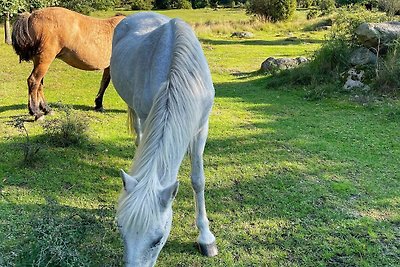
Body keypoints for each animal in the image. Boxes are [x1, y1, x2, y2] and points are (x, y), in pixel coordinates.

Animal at [110, 11, 219, 266]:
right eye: (120, 229)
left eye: (157, 240)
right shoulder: (146, 115)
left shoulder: (201, 129)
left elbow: (198, 180)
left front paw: (206, 238)